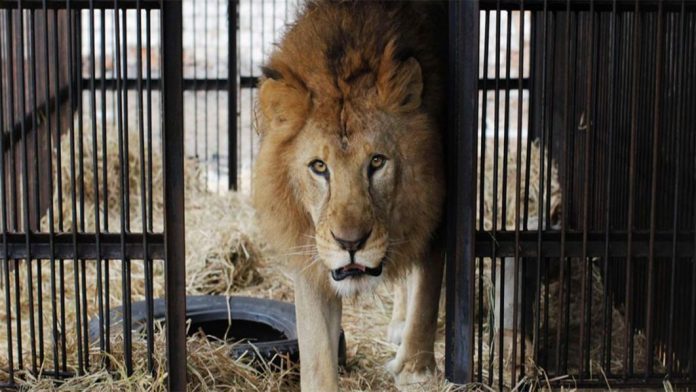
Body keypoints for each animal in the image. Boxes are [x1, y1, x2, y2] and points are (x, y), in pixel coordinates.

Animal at [254, 1, 446, 390]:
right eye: (319, 166)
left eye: (377, 161)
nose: (350, 243)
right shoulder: (311, 250)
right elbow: (315, 349)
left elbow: (426, 294)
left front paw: (415, 371)